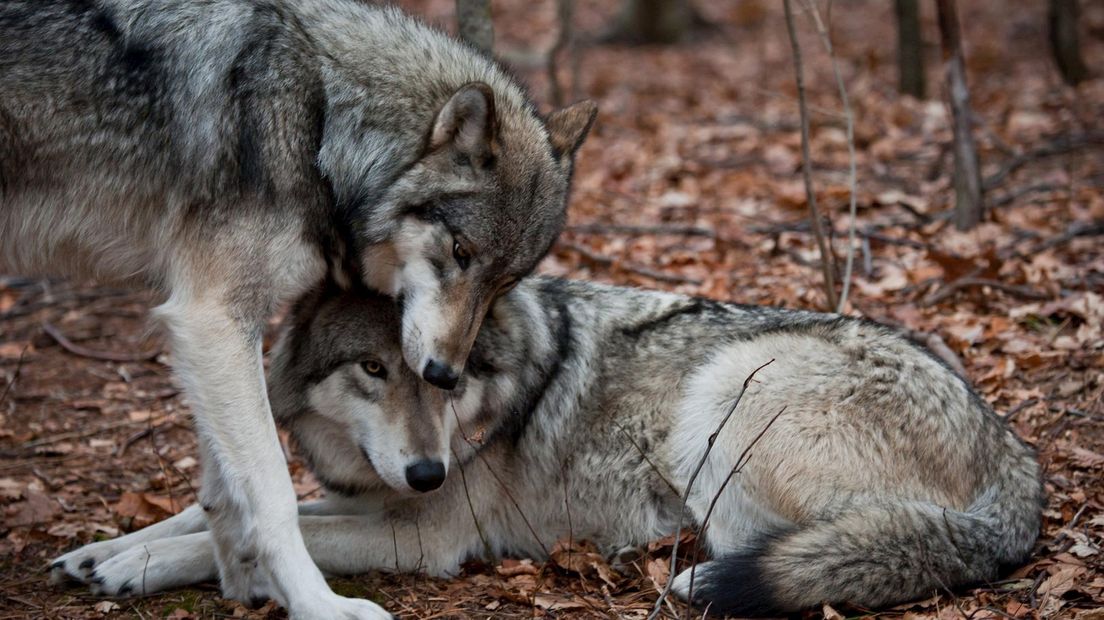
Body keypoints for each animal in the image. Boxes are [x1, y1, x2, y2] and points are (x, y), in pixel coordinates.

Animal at [2, 1, 596, 613]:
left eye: (506, 283)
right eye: (460, 252)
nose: (445, 374)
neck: (319, 121)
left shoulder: (215, 329)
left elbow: (222, 493)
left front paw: (228, 580)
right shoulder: (212, 315)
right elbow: (273, 492)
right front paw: (318, 605)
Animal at [47, 279, 1042, 613]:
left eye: (443, 374)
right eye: (372, 368)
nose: (427, 471)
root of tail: (1015, 457)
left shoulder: (423, 535)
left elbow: (266, 535)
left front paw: (140, 571)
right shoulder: (371, 495)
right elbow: (221, 512)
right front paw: (102, 553)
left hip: (726, 391)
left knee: (759, 549)